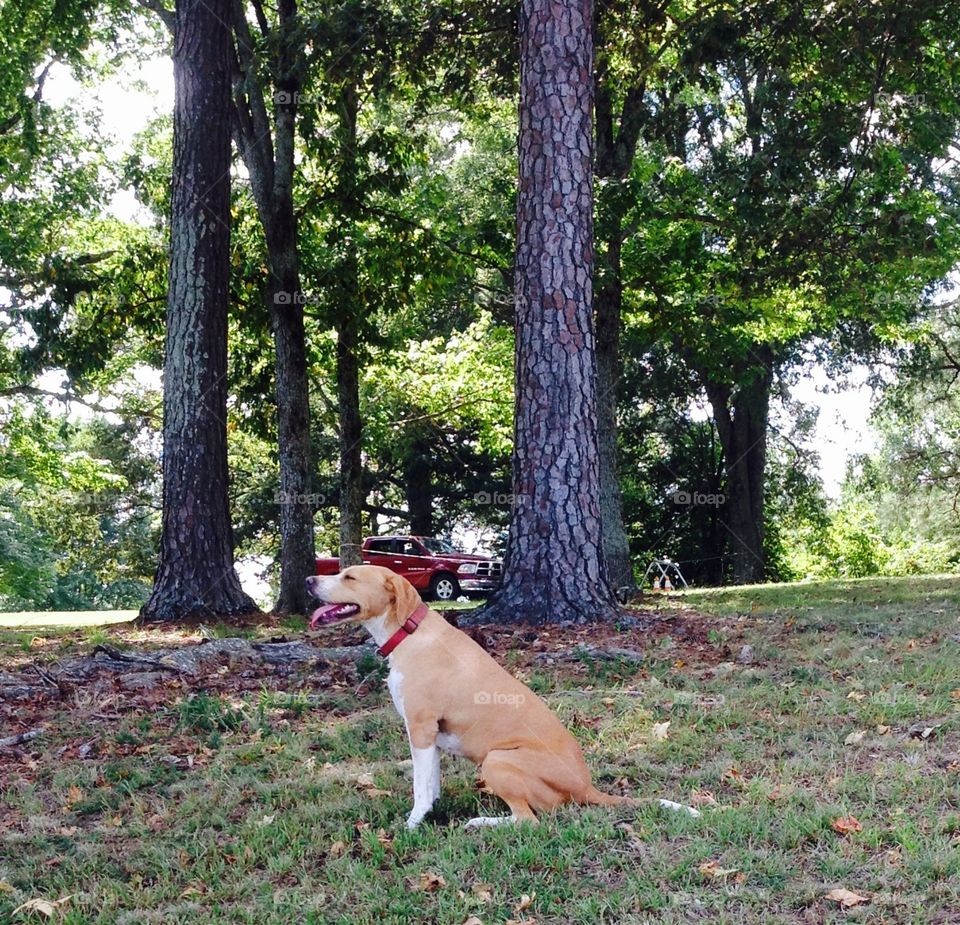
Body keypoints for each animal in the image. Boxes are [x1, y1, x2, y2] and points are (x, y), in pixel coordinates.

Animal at [306, 564, 632, 832]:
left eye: (349, 577)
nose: (309, 580)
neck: (409, 633)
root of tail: (587, 788)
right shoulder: (433, 737)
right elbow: (431, 782)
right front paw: (431, 812)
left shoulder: (420, 729)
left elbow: (419, 787)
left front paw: (412, 824)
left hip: (497, 760)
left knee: (528, 820)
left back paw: (479, 822)